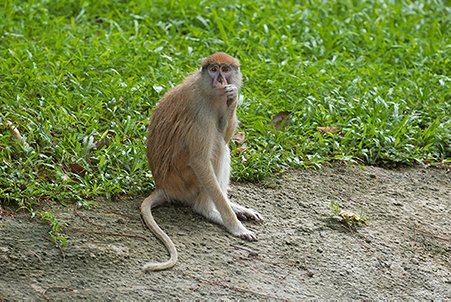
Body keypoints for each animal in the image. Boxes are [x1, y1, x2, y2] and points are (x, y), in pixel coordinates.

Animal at [139, 52, 264, 272]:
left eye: (225, 69)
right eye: (213, 69)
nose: (221, 80)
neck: (209, 91)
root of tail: (164, 186)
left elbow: (226, 131)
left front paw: (233, 97)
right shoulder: (200, 112)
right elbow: (200, 160)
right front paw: (236, 227)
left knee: (223, 143)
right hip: (184, 180)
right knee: (217, 146)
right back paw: (209, 210)